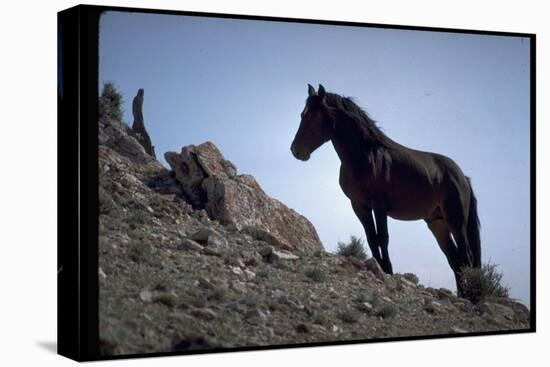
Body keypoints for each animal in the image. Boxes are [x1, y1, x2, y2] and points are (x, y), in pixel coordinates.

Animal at [292, 84, 480, 296]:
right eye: (303, 114)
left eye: (313, 116)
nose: (296, 150)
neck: (365, 157)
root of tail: (463, 177)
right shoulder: (359, 206)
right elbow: (371, 238)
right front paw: (379, 267)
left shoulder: (379, 206)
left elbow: (382, 238)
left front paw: (388, 271)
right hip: (437, 223)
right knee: (455, 259)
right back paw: (464, 295)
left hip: (456, 220)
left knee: (466, 256)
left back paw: (471, 294)